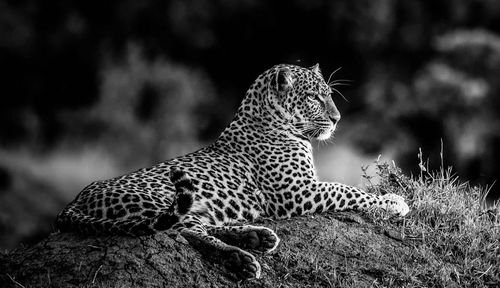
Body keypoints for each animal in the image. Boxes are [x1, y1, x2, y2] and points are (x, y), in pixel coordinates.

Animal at [56, 63, 410, 280]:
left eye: (330, 95)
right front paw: (393, 201)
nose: (337, 119)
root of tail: (74, 200)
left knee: (199, 226)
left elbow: (346, 188)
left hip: (196, 206)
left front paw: (391, 199)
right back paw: (241, 258)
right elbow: (347, 190)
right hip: (158, 199)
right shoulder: (298, 193)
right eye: (313, 97)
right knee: (180, 231)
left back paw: (257, 237)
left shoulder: (303, 189)